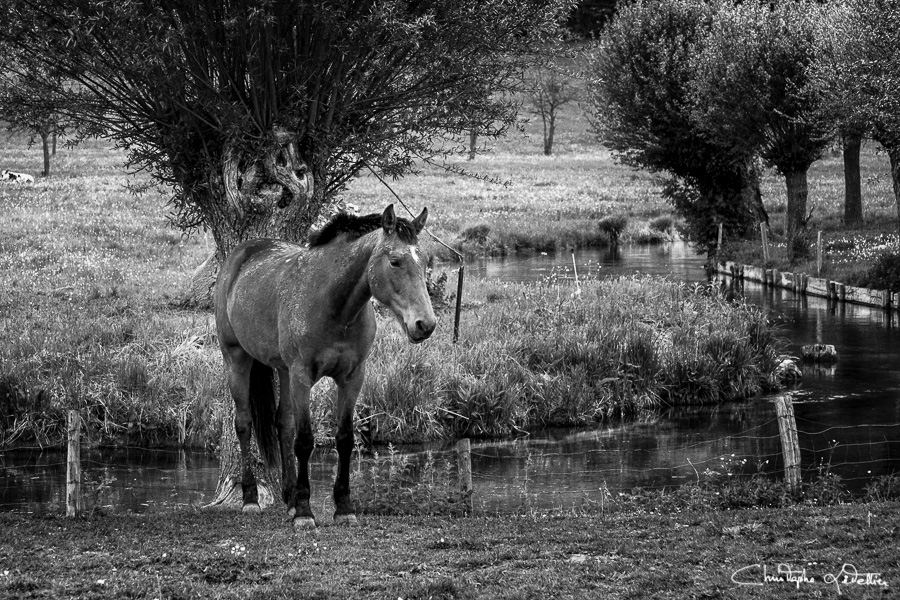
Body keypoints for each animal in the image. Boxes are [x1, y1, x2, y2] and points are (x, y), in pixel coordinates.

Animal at [213, 204, 434, 528]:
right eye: (395, 261)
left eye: (426, 262)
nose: (425, 324)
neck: (334, 306)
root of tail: (242, 253)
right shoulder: (303, 376)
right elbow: (305, 440)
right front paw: (305, 513)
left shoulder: (352, 378)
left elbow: (344, 439)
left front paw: (343, 507)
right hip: (237, 359)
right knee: (244, 424)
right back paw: (251, 499)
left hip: (283, 371)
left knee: (283, 425)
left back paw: (289, 498)